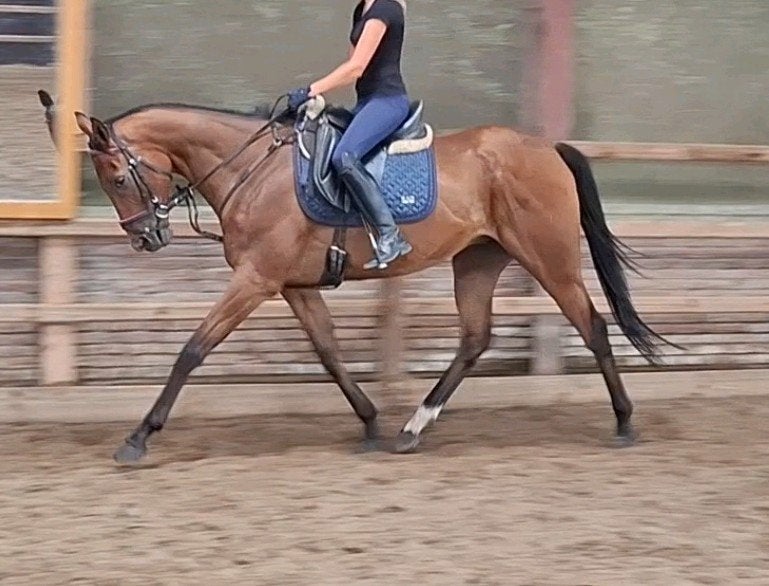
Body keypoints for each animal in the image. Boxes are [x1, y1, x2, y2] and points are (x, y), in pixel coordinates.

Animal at [38, 90, 665, 463]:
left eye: (118, 176)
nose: (146, 236)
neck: (251, 170)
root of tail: (548, 149)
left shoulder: (256, 280)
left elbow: (192, 350)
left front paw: (139, 436)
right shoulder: (292, 286)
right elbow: (329, 352)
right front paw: (368, 424)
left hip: (548, 259)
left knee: (593, 327)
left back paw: (625, 423)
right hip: (477, 261)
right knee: (474, 339)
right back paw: (412, 429)